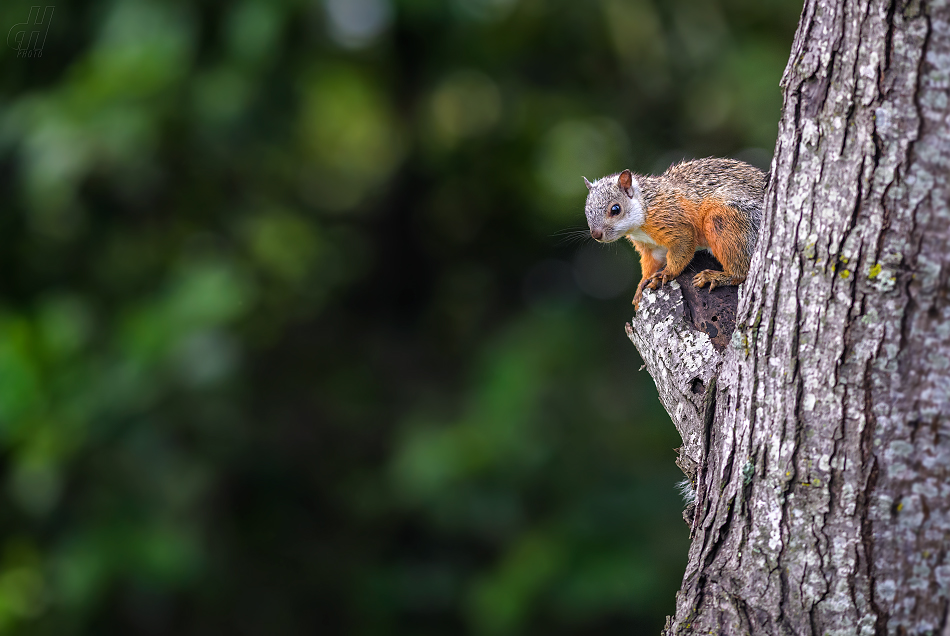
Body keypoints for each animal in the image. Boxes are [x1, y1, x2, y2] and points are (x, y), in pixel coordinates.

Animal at [584, 158, 768, 310]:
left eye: (615, 209)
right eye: (587, 211)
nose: (596, 234)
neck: (645, 205)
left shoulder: (672, 219)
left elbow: (683, 245)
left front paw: (666, 274)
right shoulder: (650, 247)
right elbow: (651, 263)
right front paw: (641, 287)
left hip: (726, 221)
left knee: (741, 272)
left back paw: (718, 277)